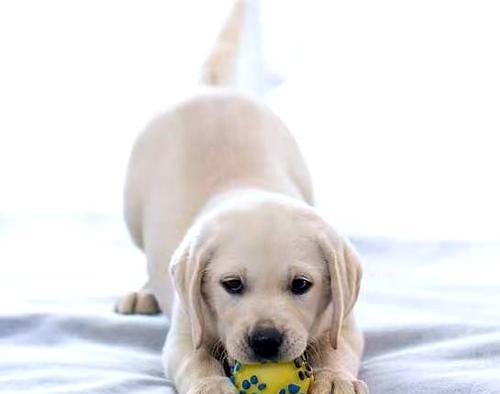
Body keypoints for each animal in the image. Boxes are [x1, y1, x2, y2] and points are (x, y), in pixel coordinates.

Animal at [117, 1, 368, 392]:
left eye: (301, 285)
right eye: (232, 285)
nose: (265, 340)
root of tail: (209, 88)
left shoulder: (343, 319)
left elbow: (337, 348)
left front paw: (334, 378)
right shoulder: (185, 331)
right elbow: (195, 360)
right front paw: (211, 384)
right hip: (132, 212)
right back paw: (143, 291)